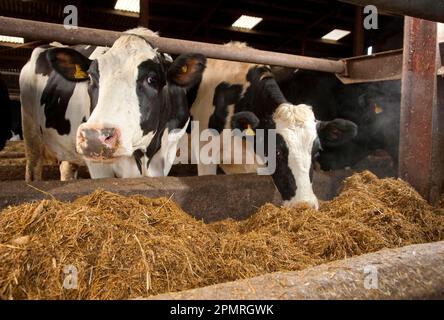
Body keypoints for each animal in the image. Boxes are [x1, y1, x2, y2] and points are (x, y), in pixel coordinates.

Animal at [20, 28, 206, 181]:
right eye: (91, 78)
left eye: (151, 79)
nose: (95, 137)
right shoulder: (98, 165)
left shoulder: (167, 154)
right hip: (30, 129)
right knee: (33, 168)